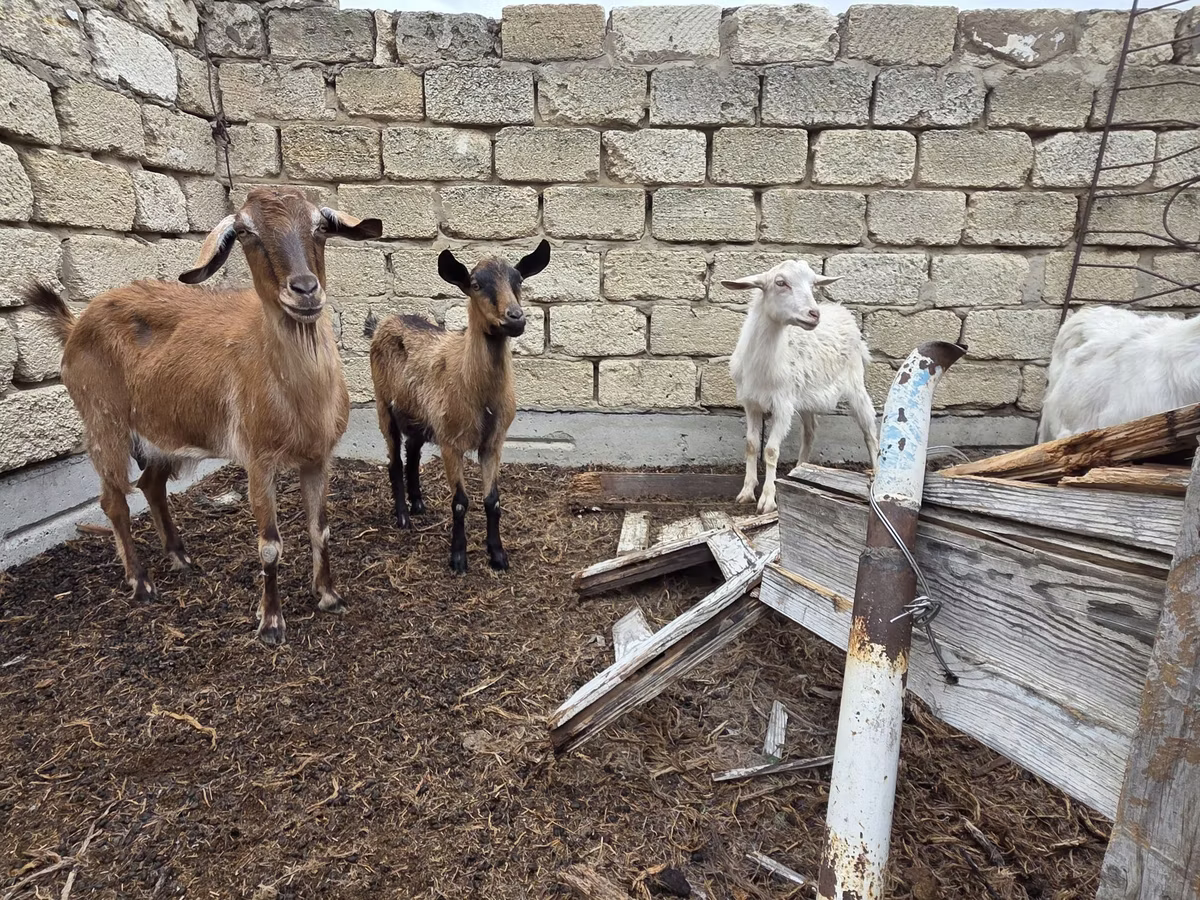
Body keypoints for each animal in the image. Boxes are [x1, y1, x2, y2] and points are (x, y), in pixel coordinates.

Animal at [25, 187, 383, 646]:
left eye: (321, 225)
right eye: (246, 232)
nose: (305, 290)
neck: (300, 397)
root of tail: (74, 326)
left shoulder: (318, 457)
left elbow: (320, 528)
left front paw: (329, 596)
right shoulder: (258, 459)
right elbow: (270, 544)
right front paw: (271, 623)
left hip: (160, 433)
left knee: (151, 484)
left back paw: (181, 558)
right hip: (103, 419)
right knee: (113, 499)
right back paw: (141, 583)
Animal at [363, 240, 550, 575]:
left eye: (519, 280)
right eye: (475, 284)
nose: (515, 317)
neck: (479, 396)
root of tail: (383, 322)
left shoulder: (493, 442)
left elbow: (492, 500)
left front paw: (498, 555)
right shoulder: (452, 442)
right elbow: (461, 502)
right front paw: (459, 558)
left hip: (420, 416)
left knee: (413, 452)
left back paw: (418, 504)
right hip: (384, 405)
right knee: (395, 460)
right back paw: (403, 517)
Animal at [723, 259, 879, 514]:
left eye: (813, 284)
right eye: (780, 282)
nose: (814, 314)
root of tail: (842, 310)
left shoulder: (783, 405)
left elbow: (771, 450)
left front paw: (768, 500)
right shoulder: (751, 403)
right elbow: (751, 445)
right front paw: (746, 492)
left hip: (856, 383)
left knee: (870, 432)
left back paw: (875, 472)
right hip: (807, 397)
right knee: (810, 431)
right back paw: (801, 471)